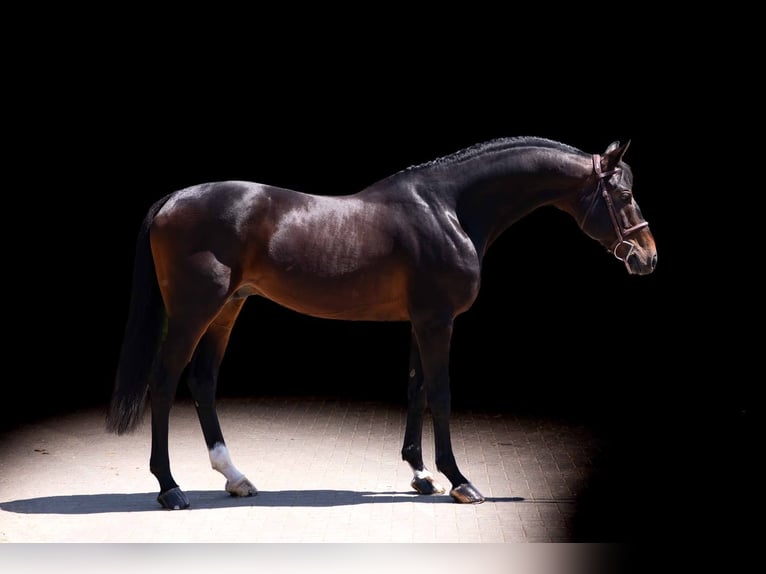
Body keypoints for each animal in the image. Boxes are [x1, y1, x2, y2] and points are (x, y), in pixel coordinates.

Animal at [106, 136, 657, 510]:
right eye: (623, 195)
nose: (647, 257)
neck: (447, 210)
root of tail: (174, 199)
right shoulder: (437, 321)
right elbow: (441, 393)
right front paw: (459, 480)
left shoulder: (420, 320)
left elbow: (415, 388)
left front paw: (420, 475)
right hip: (193, 311)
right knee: (164, 381)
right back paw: (170, 488)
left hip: (227, 309)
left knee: (202, 380)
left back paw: (235, 478)